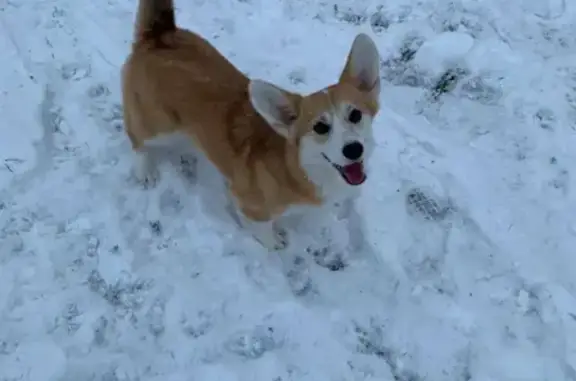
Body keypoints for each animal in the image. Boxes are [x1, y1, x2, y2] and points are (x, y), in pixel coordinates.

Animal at [121, 0, 380, 251]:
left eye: (355, 115)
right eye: (320, 127)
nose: (354, 149)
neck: (297, 168)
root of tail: (159, 35)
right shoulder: (251, 207)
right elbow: (264, 232)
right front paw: (274, 243)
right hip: (158, 125)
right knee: (136, 137)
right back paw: (145, 170)